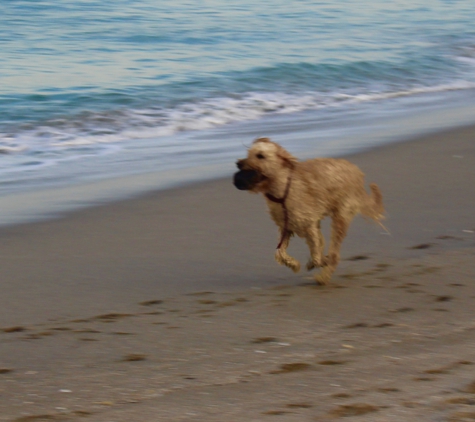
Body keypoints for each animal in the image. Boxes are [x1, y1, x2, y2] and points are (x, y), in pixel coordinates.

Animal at [234, 137, 386, 286]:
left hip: (340, 218)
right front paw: (294, 264)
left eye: (260, 156)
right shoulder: (286, 227)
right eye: (249, 153)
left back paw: (323, 276)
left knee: (335, 253)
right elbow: (280, 253)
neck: (282, 190)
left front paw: (320, 261)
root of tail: (357, 173)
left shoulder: (309, 225)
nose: (239, 163)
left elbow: (317, 254)